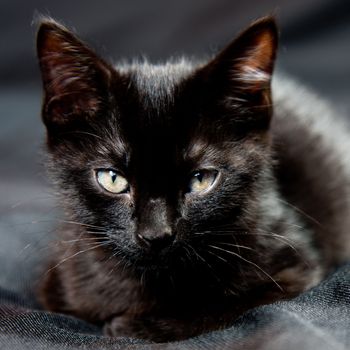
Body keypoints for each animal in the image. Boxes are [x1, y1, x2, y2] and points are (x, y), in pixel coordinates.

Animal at [36, 16, 350, 342]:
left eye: (200, 180)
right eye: (112, 179)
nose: (156, 235)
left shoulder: (296, 271)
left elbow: (224, 308)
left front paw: (132, 326)